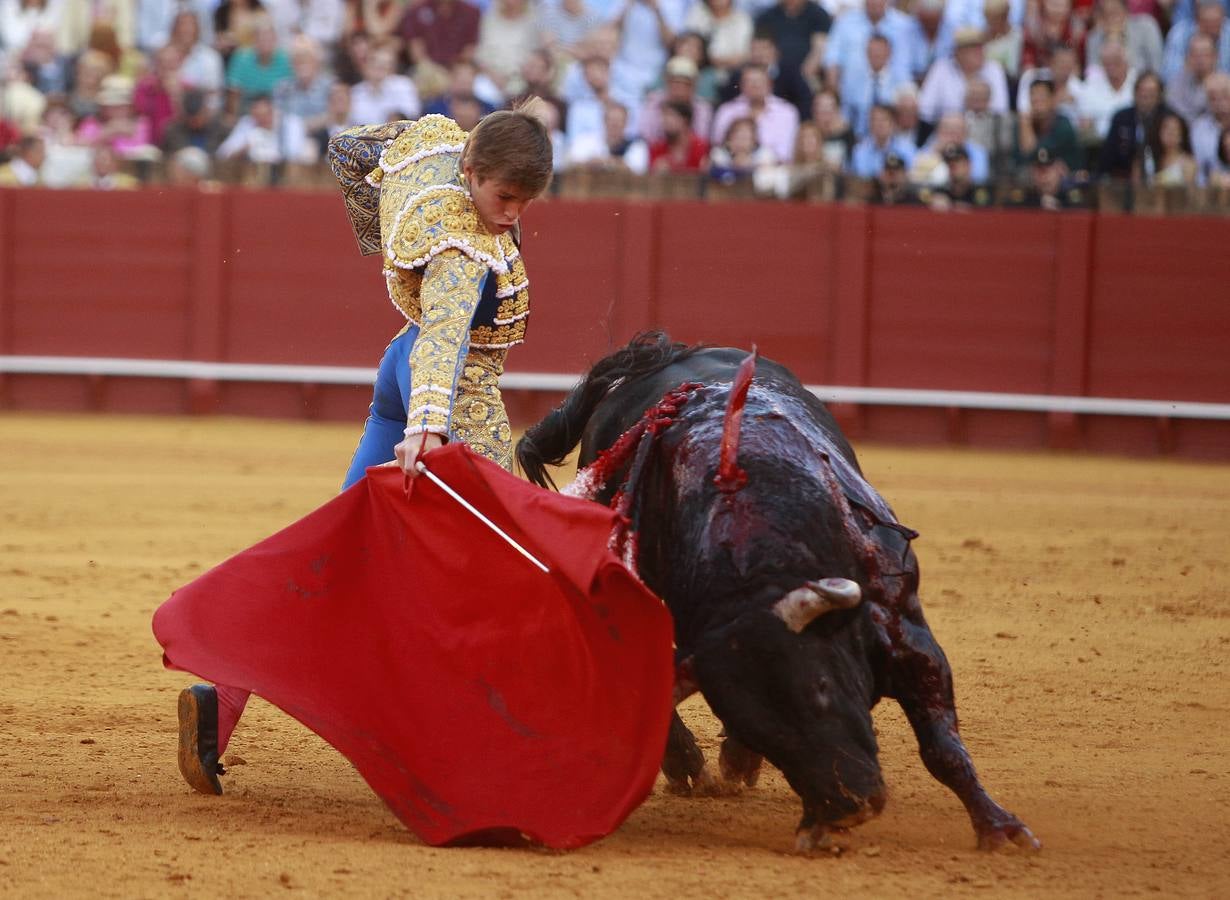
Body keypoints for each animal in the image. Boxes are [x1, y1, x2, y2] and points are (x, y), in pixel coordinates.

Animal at [516, 336, 1038, 850]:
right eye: (763, 730)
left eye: (823, 688)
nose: (848, 806)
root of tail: (666, 355)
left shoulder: (908, 632)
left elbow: (942, 747)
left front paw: (1000, 829)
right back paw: (690, 767)